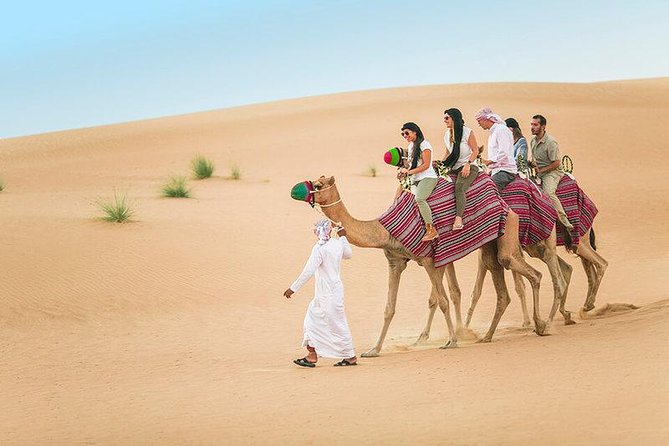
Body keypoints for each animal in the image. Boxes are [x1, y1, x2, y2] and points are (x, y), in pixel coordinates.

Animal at [294, 175, 548, 357]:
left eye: (318, 184)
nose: (297, 190)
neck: (383, 230)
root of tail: (502, 200)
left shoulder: (428, 260)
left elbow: (442, 300)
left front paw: (452, 341)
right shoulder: (395, 262)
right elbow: (389, 307)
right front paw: (374, 350)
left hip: (507, 231)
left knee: (528, 271)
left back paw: (540, 324)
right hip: (489, 244)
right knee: (504, 283)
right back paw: (491, 335)